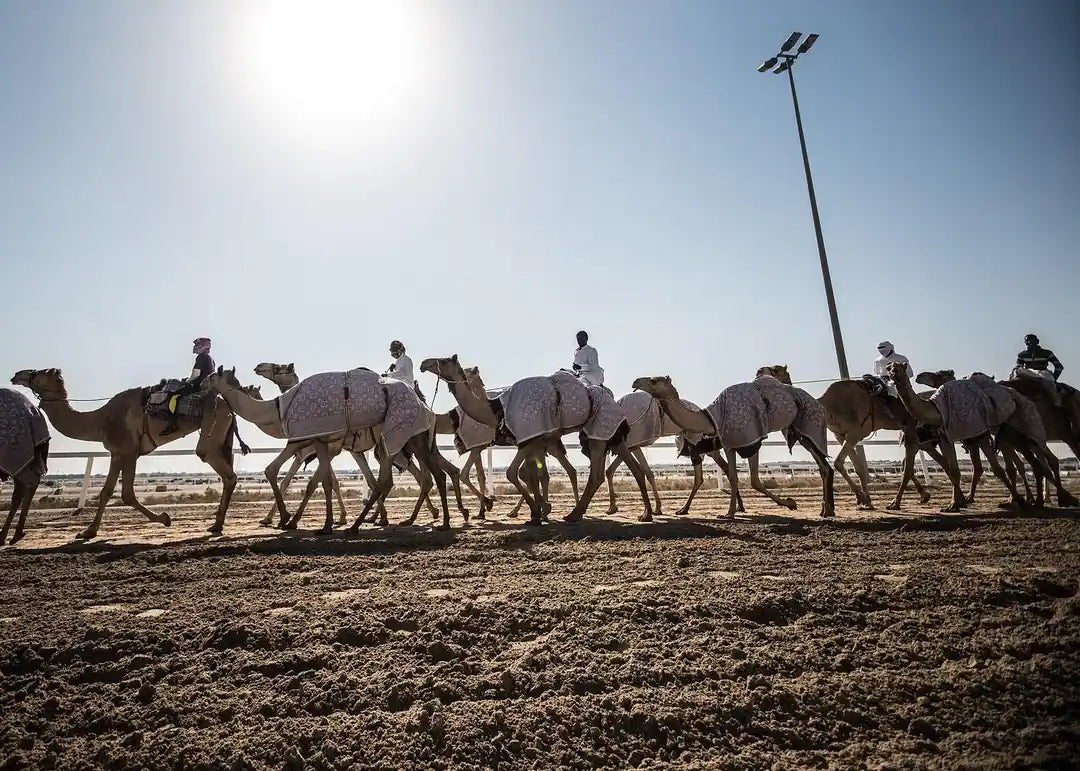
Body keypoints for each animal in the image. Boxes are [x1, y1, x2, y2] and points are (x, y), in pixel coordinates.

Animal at [10, 368, 255, 539]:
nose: (16, 375)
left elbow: (127, 493)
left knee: (224, 471)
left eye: (40, 372)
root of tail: (228, 407)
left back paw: (216, 525)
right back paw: (216, 525)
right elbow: (106, 492)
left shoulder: (129, 451)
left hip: (212, 432)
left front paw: (165, 518)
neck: (102, 419)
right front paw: (88, 532)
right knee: (228, 474)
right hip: (223, 438)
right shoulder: (117, 452)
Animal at [204, 367, 461, 532]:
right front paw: (289, 519)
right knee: (420, 476)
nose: (200, 381)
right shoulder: (315, 442)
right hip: (405, 440)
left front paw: (308, 522)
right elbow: (290, 474)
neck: (279, 409)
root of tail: (426, 406)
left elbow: (319, 482)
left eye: (213, 375)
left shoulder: (319, 441)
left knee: (421, 476)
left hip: (401, 440)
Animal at [421, 356, 652, 524]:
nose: (424, 364)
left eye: (443, 360)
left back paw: (576, 514)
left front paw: (536, 511)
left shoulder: (527, 439)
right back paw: (643, 514)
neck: (497, 409)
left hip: (598, 430)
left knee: (594, 473)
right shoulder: (531, 440)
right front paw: (538, 512)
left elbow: (514, 473)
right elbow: (530, 475)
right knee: (628, 470)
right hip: (608, 435)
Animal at [632, 375, 835, 519]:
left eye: (654, 380)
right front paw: (729, 513)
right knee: (823, 465)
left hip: (810, 420)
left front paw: (789, 503)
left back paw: (826, 510)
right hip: (799, 432)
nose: (635, 381)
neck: (712, 417)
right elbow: (733, 477)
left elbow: (754, 480)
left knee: (823, 463)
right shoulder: (729, 444)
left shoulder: (751, 441)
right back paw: (826, 510)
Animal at [756, 365, 945, 510]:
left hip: (909, 423)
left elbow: (840, 462)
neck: (831, 407)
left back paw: (904, 500)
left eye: (776, 369)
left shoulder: (855, 433)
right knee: (912, 456)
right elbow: (857, 466)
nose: (758, 371)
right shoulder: (841, 434)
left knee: (911, 454)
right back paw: (923, 495)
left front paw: (864, 498)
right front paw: (865, 500)